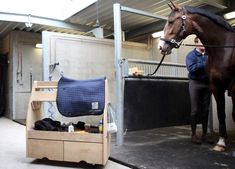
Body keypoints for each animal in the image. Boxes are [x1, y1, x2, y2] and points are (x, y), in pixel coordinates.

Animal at [161, 1, 235, 152]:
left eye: (171, 21)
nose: (161, 46)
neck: (224, 48)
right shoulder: (216, 86)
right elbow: (221, 113)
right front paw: (221, 143)